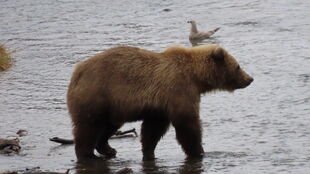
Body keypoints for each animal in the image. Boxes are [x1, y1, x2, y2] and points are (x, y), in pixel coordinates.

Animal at [66, 44, 253, 161]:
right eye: (237, 66)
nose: (249, 78)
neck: (196, 76)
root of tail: (77, 72)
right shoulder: (179, 89)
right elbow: (187, 123)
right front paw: (198, 151)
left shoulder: (159, 106)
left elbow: (153, 130)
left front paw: (149, 152)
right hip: (97, 94)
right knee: (89, 127)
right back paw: (87, 154)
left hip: (113, 106)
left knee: (109, 126)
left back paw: (107, 148)